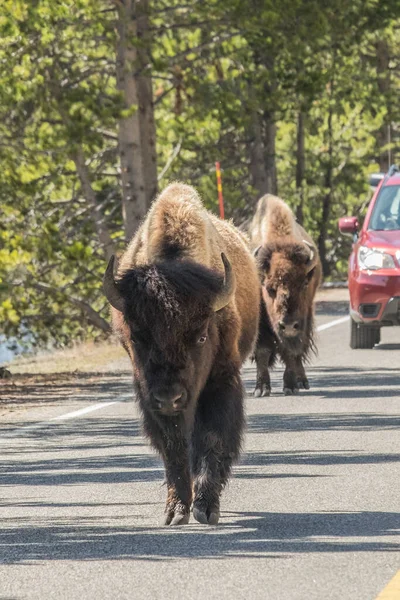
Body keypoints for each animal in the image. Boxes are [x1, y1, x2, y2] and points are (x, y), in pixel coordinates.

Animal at [103, 182, 260, 524]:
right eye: (137, 336)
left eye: (201, 336)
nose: (169, 397)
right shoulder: (148, 393)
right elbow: (172, 446)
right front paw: (176, 511)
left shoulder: (221, 380)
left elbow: (213, 436)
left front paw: (205, 507)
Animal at [250, 195, 322, 396]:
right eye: (268, 288)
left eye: (304, 284)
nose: (289, 325)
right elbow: (263, 350)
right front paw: (261, 389)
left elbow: (289, 351)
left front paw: (290, 386)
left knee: (299, 350)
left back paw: (302, 381)